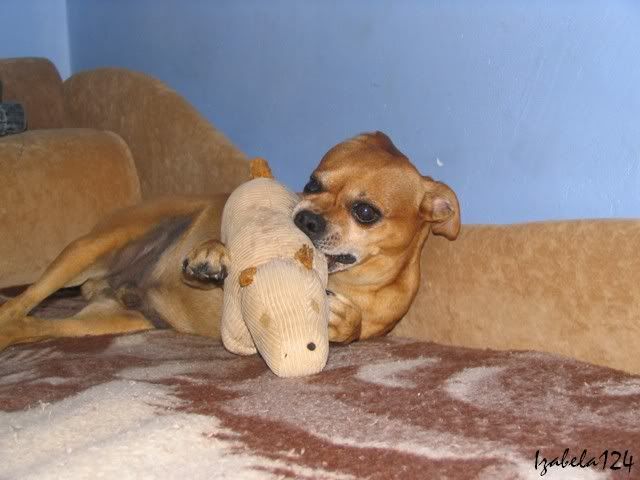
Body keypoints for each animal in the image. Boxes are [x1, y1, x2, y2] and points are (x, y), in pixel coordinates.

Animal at [0, 131, 460, 349]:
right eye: (312, 183)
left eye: (366, 212)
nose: (306, 218)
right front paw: (212, 255)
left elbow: (356, 327)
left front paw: (344, 321)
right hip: (88, 250)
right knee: (20, 302)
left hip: (104, 321)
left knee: (28, 325)